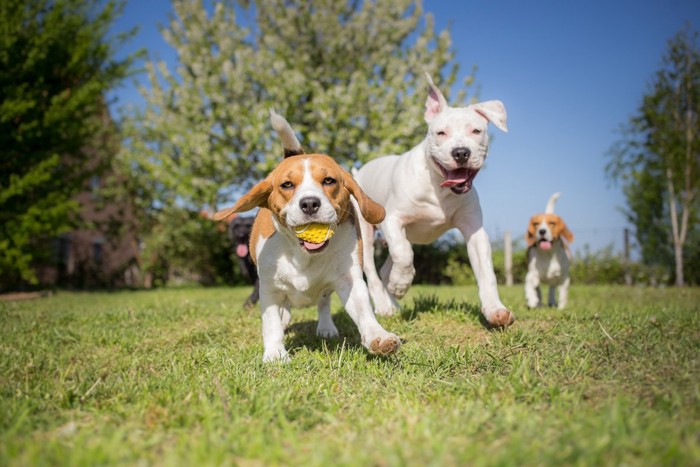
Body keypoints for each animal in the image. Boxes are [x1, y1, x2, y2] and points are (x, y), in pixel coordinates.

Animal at [213, 111, 400, 364]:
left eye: (329, 180)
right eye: (287, 184)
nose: (310, 203)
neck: (303, 254)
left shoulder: (349, 279)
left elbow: (364, 312)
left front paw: (378, 336)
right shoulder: (268, 287)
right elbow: (271, 322)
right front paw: (275, 353)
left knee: (323, 302)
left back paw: (326, 327)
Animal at [356, 74, 516, 330]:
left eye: (476, 130)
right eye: (441, 133)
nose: (461, 152)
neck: (440, 188)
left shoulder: (474, 231)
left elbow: (487, 273)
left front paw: (495, 310)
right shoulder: (393, 219)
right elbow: (404, 253)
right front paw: (401, 284)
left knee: (385, 268)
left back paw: (393, 303)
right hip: (366, 231)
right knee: (372, 269)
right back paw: (384, 305)